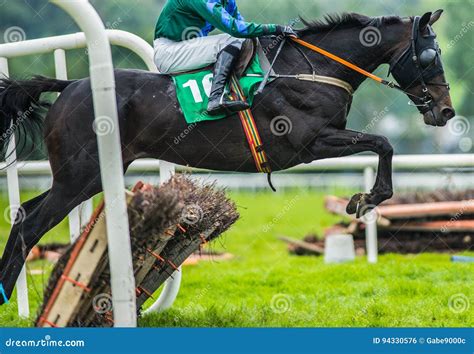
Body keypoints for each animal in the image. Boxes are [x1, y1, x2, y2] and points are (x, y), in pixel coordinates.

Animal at [0, 11, 456, 304]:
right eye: (430, 55)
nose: (447, 111)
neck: (310, 68)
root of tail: (70, 85)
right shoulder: (308, 144)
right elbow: (383, 143)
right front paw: (366, 198)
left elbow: (382, 144)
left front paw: (363, 198)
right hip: (81, 176)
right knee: (31, 224)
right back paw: (7, 291)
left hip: (79, 177)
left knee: (25, 213)